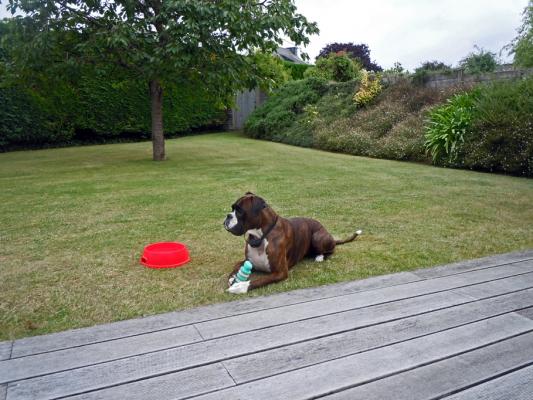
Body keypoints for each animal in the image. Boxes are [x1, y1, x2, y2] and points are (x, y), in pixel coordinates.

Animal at [222, 194, 360, 294]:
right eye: (232, 208)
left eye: (240, 211)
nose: (228, 216)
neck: (261, 236)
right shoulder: (247, 261)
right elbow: (236, 266)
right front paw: (232, 278)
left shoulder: (281, 273)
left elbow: (259, 280)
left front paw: (240, 286)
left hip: (317, 237)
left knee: (331, 249)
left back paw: (320, 257)